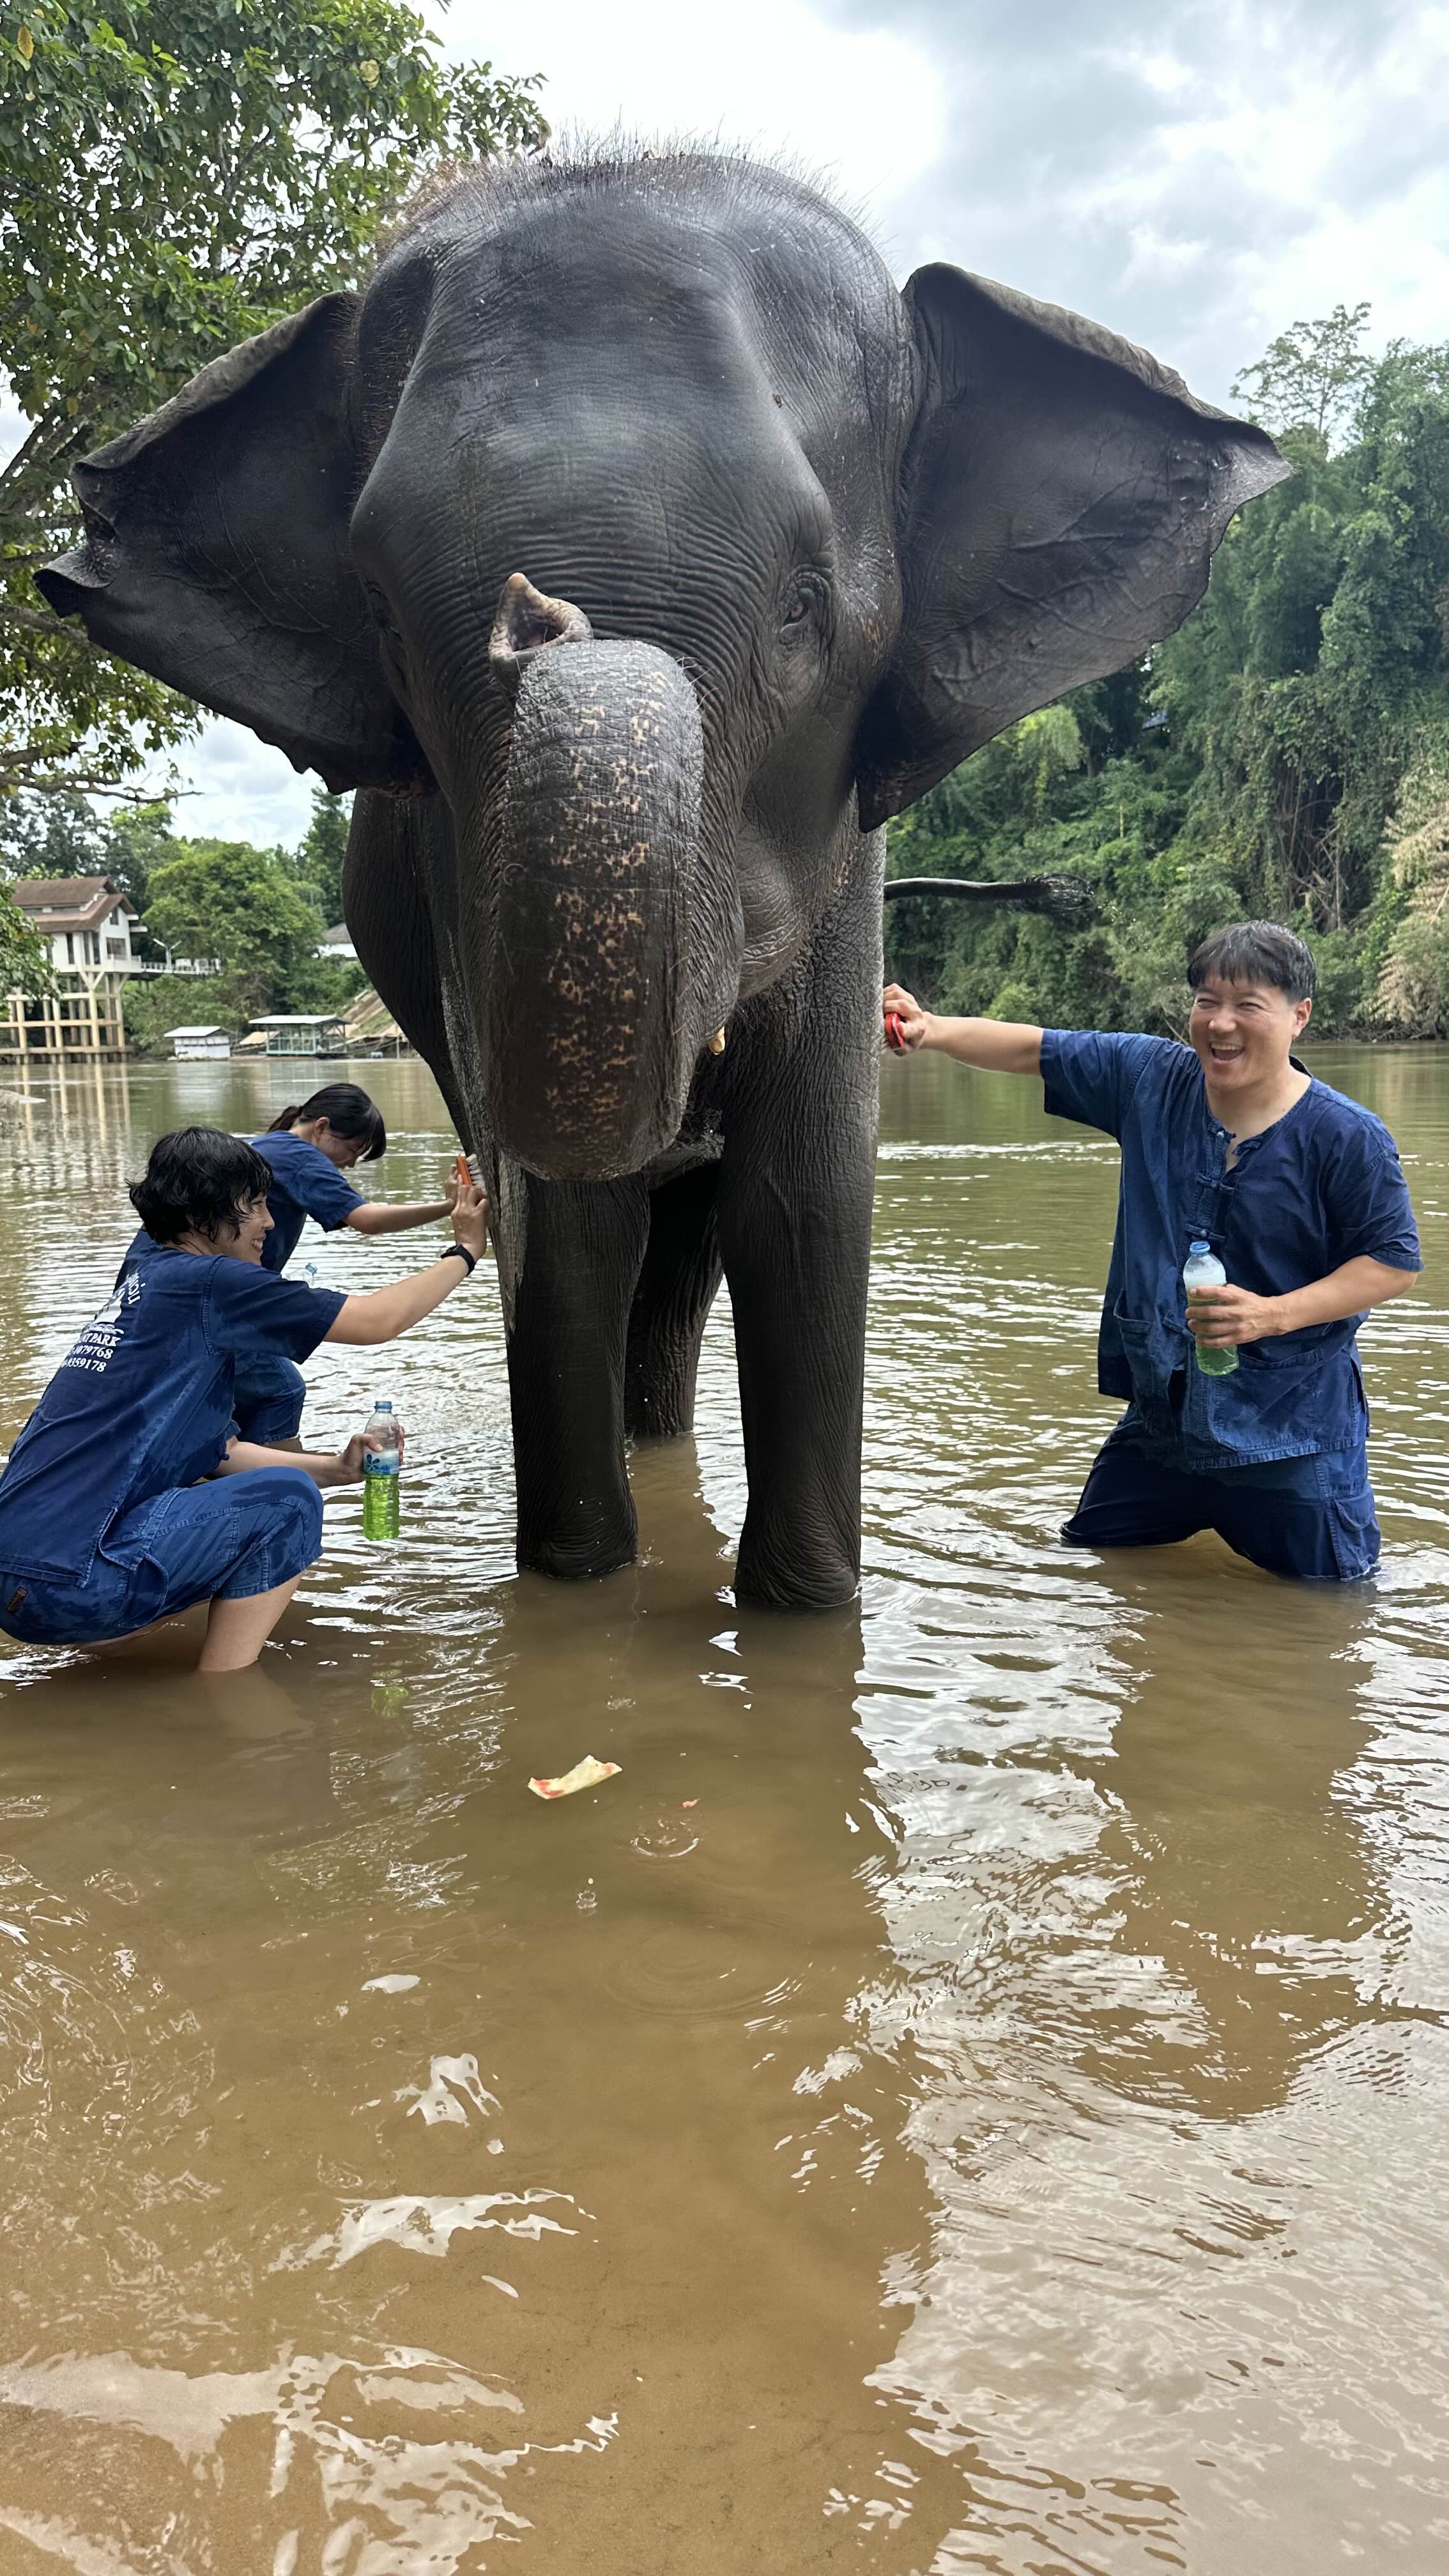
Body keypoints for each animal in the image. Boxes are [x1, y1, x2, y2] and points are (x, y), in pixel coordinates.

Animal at [38, 149, 1286, 1610]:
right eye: (387, 618)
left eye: (805, 606)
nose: (538, 614)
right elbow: (569, 1230)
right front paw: (582, 1587)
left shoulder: (847, 876)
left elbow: (803, 1210)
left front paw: (802, 1616)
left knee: (690, 1243)